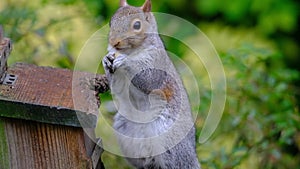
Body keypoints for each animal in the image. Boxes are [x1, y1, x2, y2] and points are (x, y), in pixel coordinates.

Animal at [102, 0, 200, 168]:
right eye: (110, 22)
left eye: (137, 25)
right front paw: (106, 60)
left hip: (168, 138)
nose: (114, 42)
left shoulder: (157, 63)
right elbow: (118, 88)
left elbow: (149, 79)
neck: (131, 51)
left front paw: (125, 61)